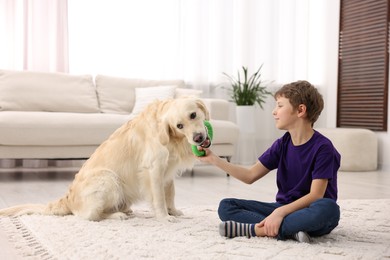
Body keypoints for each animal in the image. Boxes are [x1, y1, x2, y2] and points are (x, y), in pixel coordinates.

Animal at [0, 96, 210, 222]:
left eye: (193, 115)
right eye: (179, 125)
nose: (198, 138)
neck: (173, 139)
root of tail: (68, 200)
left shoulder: (168, 171)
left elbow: (170, 194)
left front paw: (173, 210)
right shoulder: (154, 169)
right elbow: (159, 198)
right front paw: (165, 217)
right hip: (108, 178)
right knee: (91, 216)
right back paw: (117, 215)